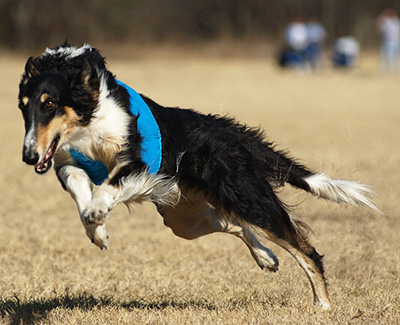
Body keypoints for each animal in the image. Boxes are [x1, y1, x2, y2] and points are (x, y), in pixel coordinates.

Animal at [18, 43, 380, 308]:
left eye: (49, 104)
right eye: (23, 106)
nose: (29, 156)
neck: (89, 117)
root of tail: (235, 135)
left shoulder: (141, 163)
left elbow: (108, 186)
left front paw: (98, 212)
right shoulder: (67, 161)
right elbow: (81, 194)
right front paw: (97, 229)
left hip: (247, 199)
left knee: (305, 249)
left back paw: (323, 305)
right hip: (184, 218)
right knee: (235, 224)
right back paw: (266, 258)